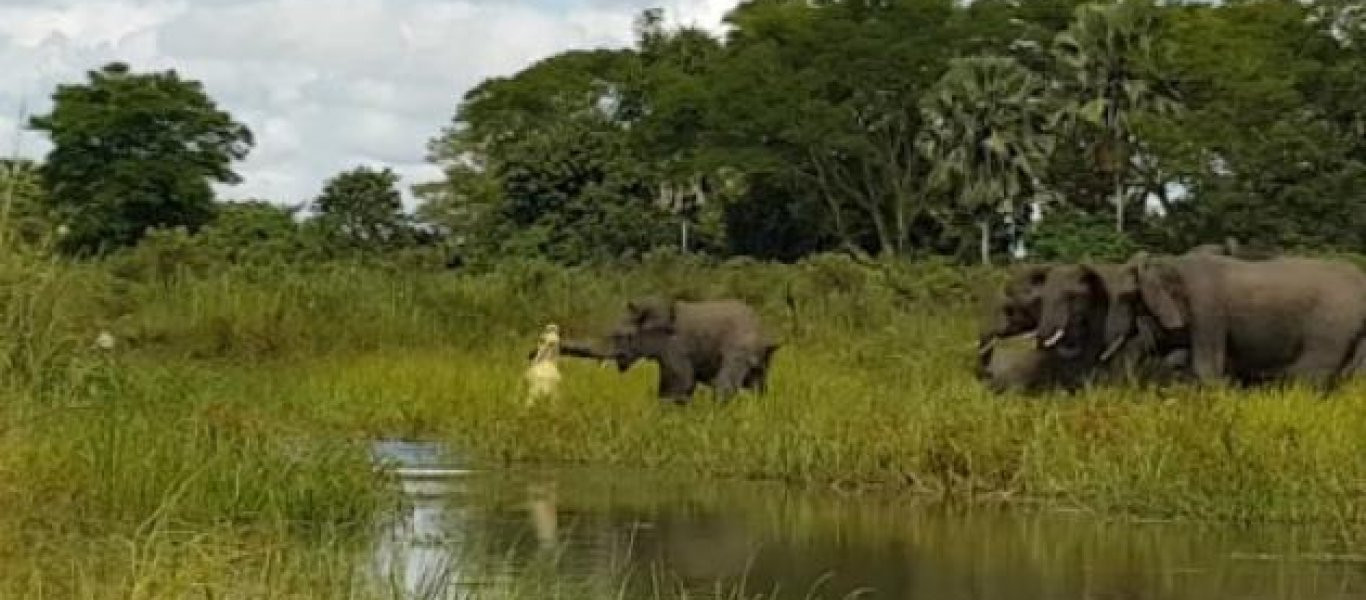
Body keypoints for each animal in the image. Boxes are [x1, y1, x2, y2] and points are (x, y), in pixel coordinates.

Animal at [546, 297, 781, 407]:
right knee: (759, 387)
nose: (531, 353)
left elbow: (680, 384)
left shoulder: (675, 347)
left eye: (621, 336)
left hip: (739, 348)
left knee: (724, 385)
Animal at [1038, 252, 1366, 390]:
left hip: (1331, 325)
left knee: (1309, 375)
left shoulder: (1206, 307)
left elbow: (1206, 367)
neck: (1168, 261)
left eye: (1127, 296)